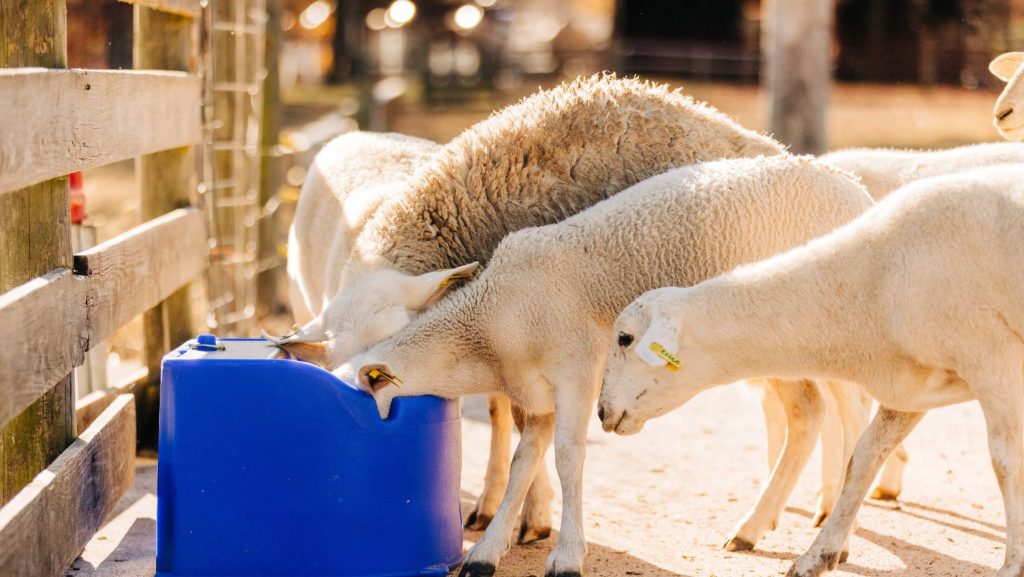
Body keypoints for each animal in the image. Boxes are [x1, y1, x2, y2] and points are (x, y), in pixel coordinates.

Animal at [337, 155, 880, 577]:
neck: (489, 326)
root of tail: (858, 191)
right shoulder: (538, 395)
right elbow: (523, 463)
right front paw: (487, 552)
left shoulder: (576, 372)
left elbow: (568, 458)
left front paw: (566, 557)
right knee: (808, 413)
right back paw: (752, 528)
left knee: (851, 409)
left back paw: (836, 535)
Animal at [598, 162, 1024, 577]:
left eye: (624, 338)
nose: (601, 412)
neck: (868, 282)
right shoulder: (913, 382)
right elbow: (863, 457)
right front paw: (819, 554)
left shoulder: (993, 360)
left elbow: (1006, 461)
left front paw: (1013, 564)